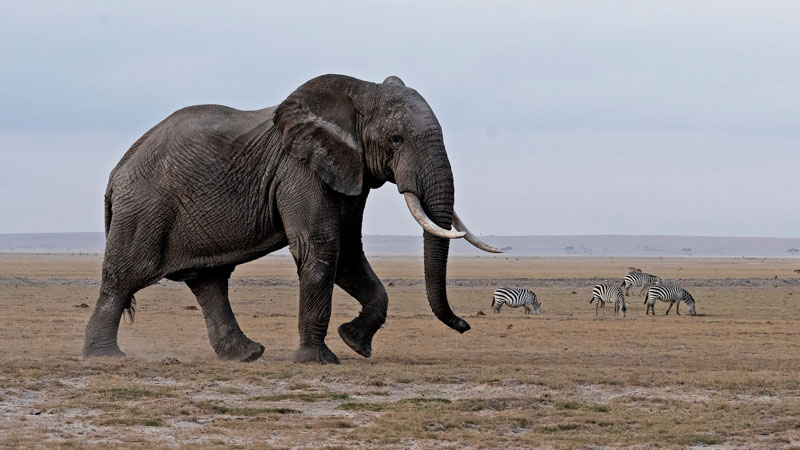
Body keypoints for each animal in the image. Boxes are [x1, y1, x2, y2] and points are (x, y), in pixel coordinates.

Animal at [82, 74, 501, 364]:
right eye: (396, 139)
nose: (465, 325)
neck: (361, 93)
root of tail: (117, 172)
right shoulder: (299, 170)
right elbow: (323, 246)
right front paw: (319, 361)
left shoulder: (348, 171)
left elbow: (348, 253)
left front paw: (355, 343)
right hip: (144, 208)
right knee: (126, 276)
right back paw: (104, 356)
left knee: (209, 281)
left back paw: (247, 355)